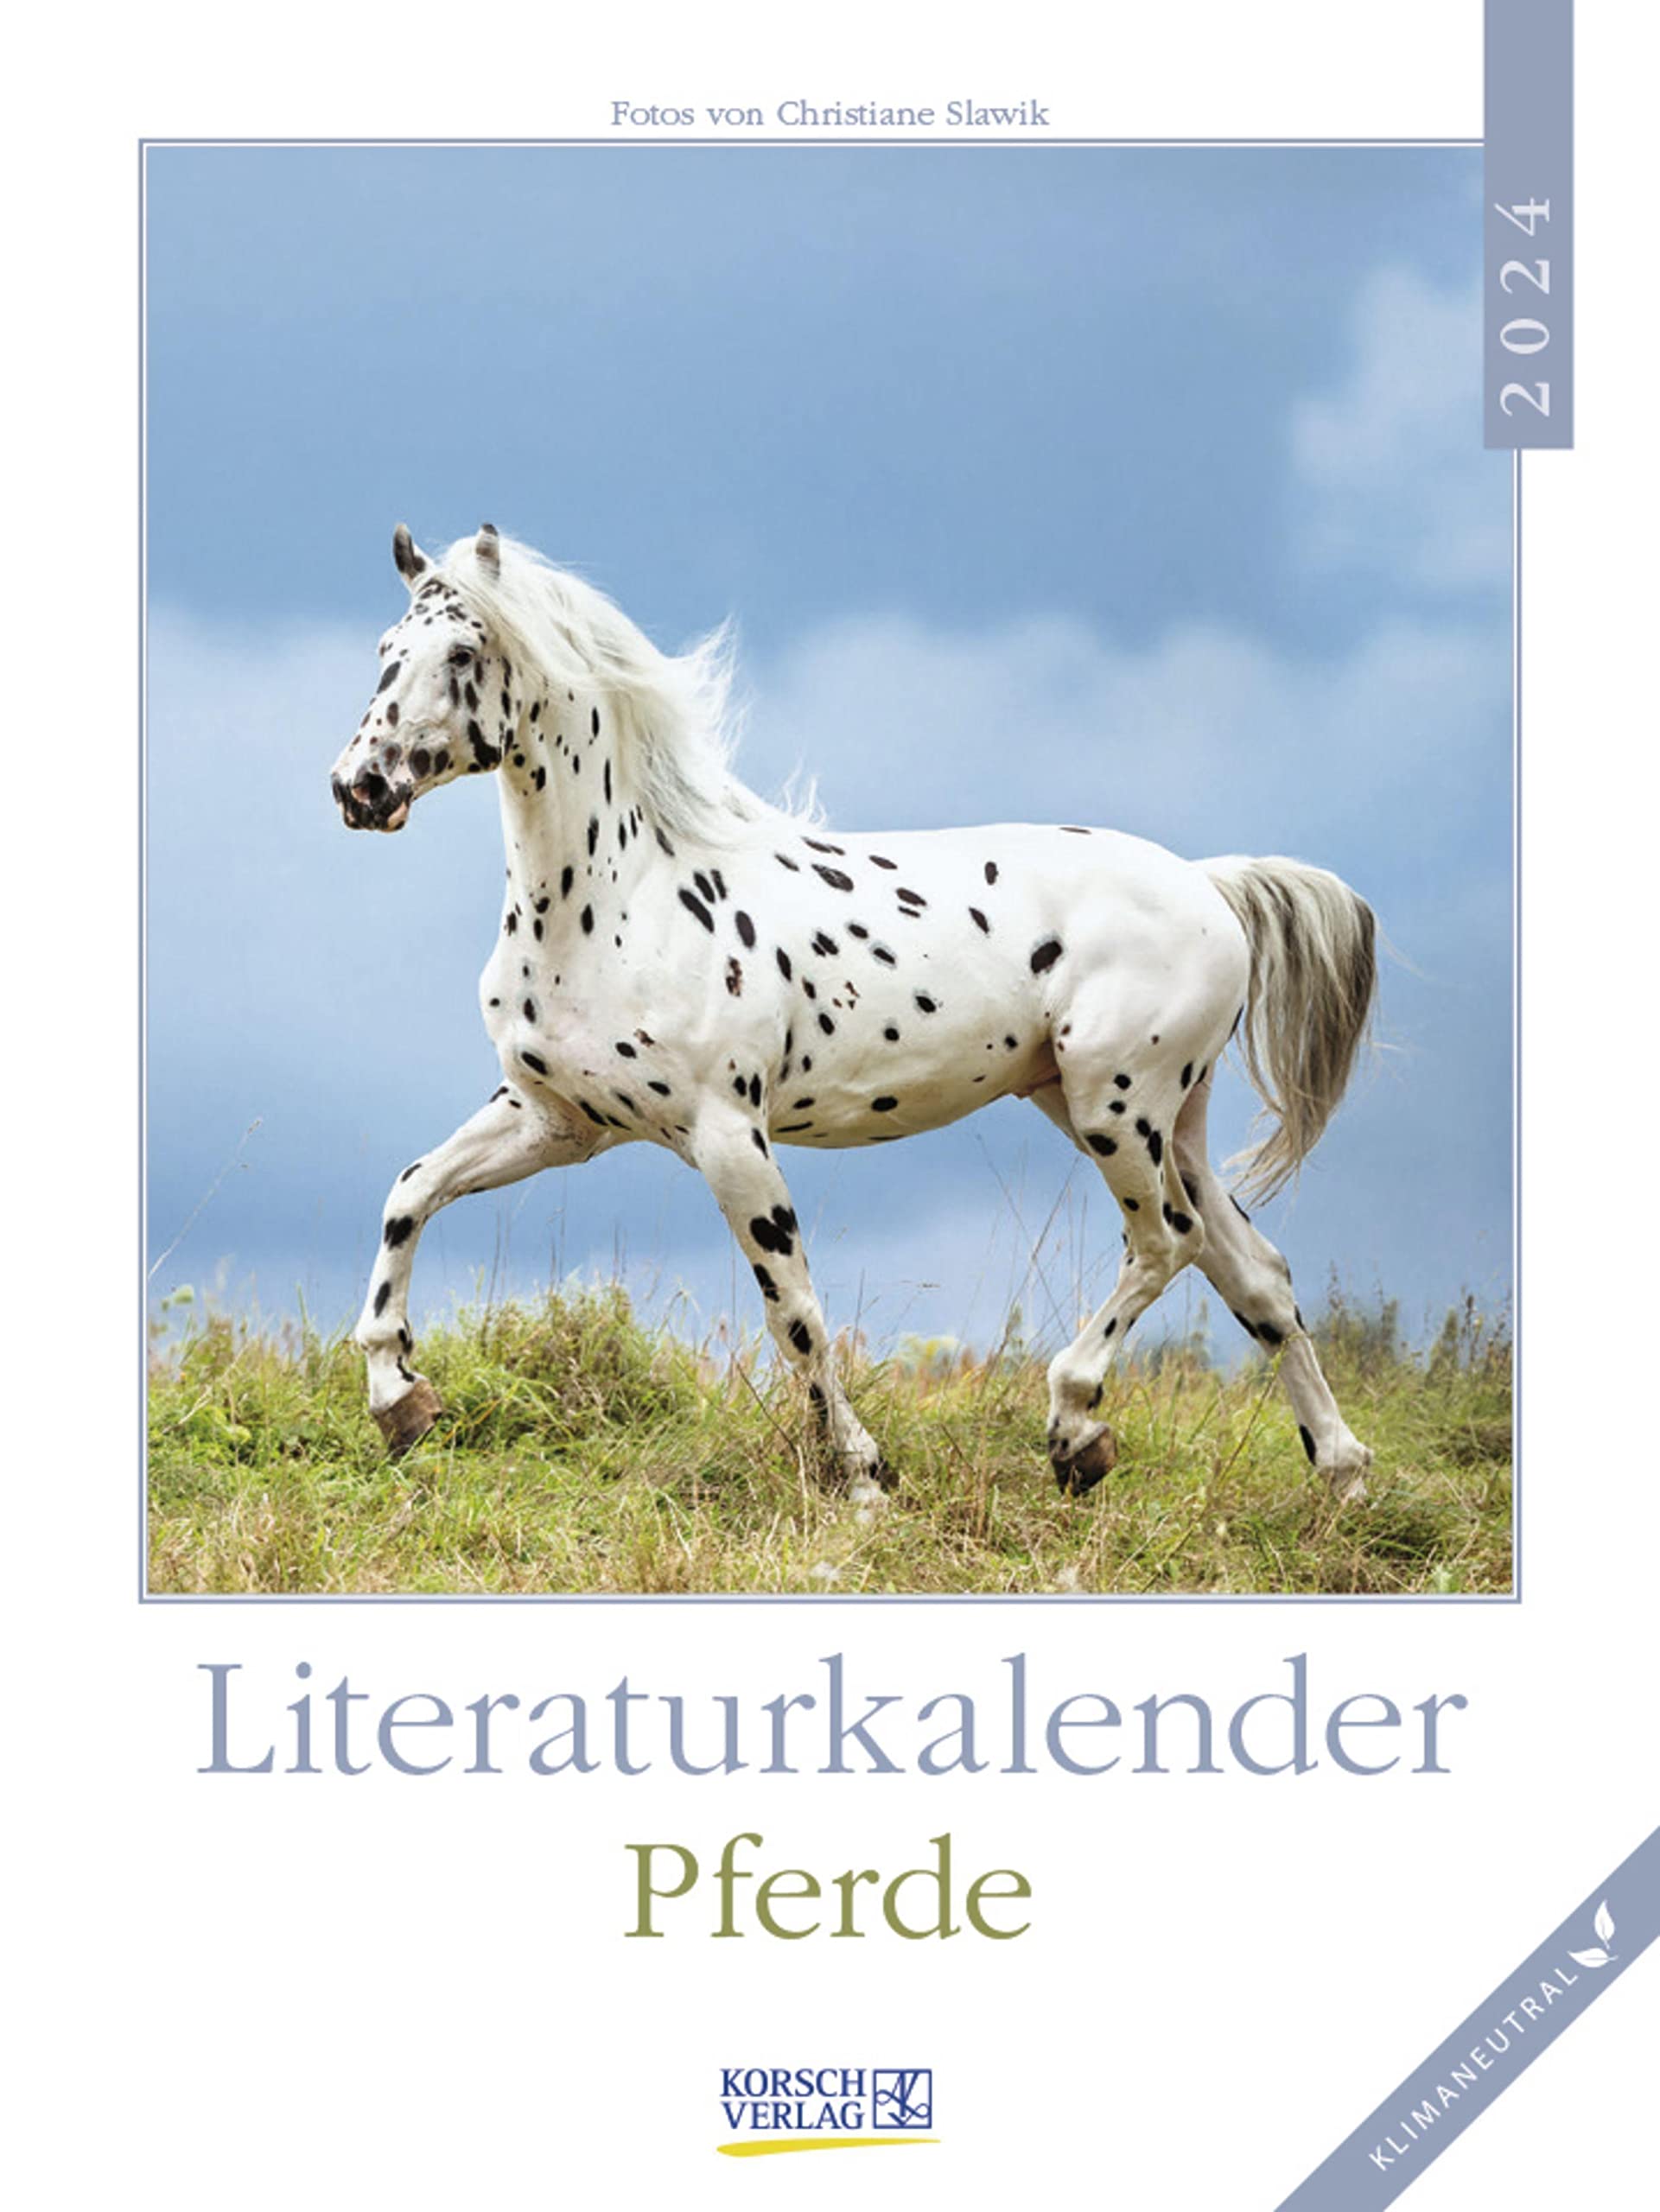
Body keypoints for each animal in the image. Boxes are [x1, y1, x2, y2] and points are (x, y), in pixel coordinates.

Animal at [330, 523, 1378, 1503]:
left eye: (463, 654)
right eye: (386, 649)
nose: (360, 787)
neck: (621, 899)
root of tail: (1208, 884)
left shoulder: (727, 1134)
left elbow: (795, 1313)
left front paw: (864, 1476)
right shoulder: (557, 1122)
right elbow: (410, 1192)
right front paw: (398, 1400)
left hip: (1117, 1109)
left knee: (1168, 1242)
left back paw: (1077, 1428)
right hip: (1146, 1115)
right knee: (1254, 1273)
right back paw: (1341, 1477)